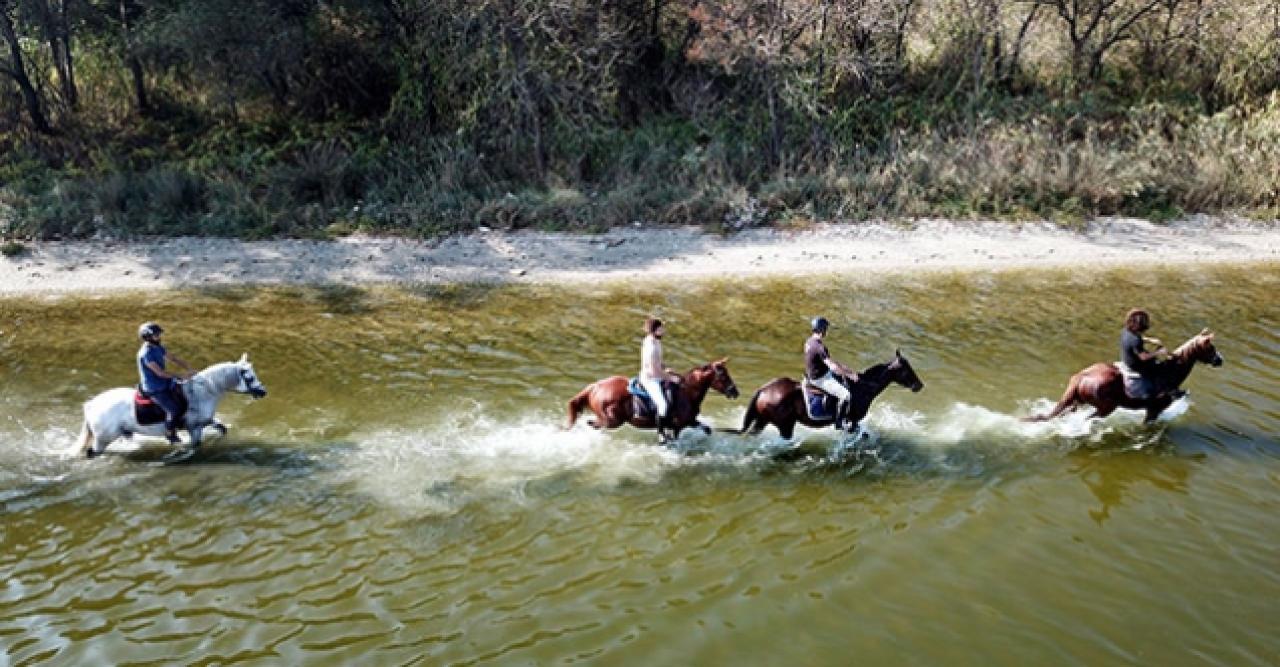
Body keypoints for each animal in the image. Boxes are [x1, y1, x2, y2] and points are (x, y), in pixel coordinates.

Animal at [75, 353, 267, 458]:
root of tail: (91, 405)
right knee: (92, 452)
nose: (263, 392)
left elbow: (222, 428)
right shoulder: (193, 427)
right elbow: (195, 445)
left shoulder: (205, 421)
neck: (202, 392)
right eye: (250, 377)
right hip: (103, 438)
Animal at [563, 358, 742, 437]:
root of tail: (596, 387)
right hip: (612, 421)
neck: (687, 393)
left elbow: (707, 429)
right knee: (593, 424)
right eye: (723, 376)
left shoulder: (689, 422)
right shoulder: (677, 426)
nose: (735, 392)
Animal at [742, 350, 921, 440]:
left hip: (763, 420)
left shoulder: (851, 421)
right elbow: (860, 433)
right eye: (906, 368)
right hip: (785, 425)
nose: (919, 385)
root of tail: (764, 389)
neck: (862, 388)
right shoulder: (853, 420)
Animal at [1024, 327, 1223, 422]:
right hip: (1106, 408)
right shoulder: (1154, 410)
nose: (1220, 360)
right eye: (1210, 347)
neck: (1168, 373)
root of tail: (1081, 377)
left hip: (1078, 402)